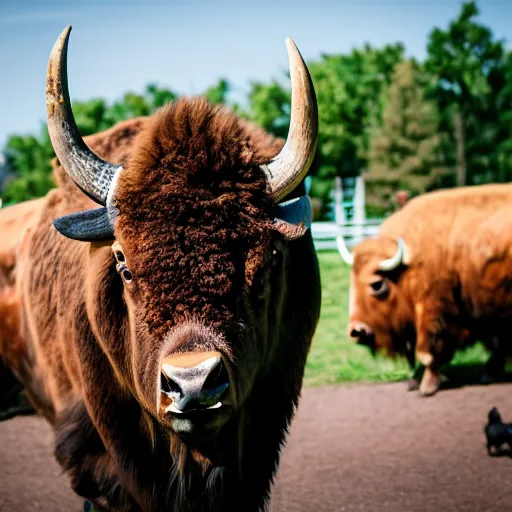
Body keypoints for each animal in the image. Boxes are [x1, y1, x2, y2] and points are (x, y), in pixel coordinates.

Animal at [338, 184, 512, 396]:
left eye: (376, 284)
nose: (357, 331)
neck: (407, 267)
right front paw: (414, 382)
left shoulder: (432, 312)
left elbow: (427, 352)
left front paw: (427, 387)